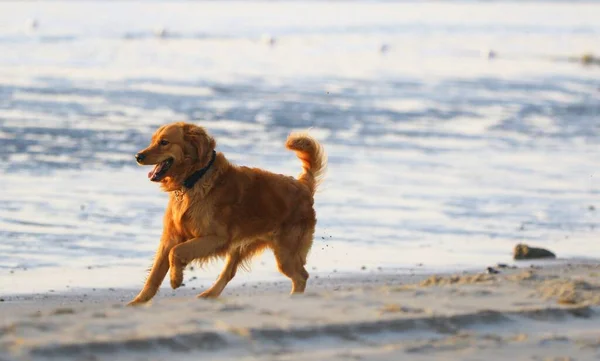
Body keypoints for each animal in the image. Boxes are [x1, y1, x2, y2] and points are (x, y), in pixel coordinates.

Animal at [125, 121, 324, 304]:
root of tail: (303, 186)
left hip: (285, 253)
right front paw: (137, 303)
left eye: (164, 142)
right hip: (242, 246)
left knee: (301, 276)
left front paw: (176, 278)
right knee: (229, 273)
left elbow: (176, 251)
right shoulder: (171, 236)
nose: (137, 156)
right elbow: (154, 275)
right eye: (152, 141)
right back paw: (209, 295)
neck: (194, 180)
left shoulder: (216, 238)